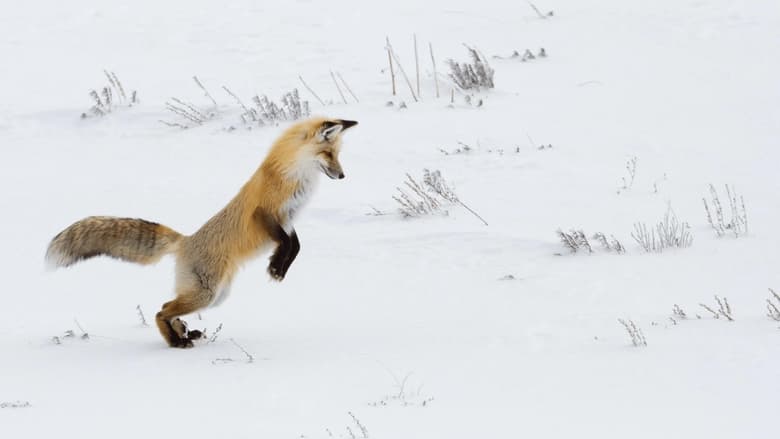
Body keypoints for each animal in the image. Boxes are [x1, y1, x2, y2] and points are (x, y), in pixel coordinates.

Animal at [45, 118, 356, 348]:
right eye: (328, 154)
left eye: (338, 155)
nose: (343, 176)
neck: (294, 176)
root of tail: (186, 241)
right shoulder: (264, 213)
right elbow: (285, 243)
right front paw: (276, 267)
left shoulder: (288, 219)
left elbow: (295, 245)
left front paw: (279, 267)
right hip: (207, 294)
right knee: (161, 310)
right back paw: (175, 341)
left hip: (216, 295)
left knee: (166, 305)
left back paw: (182, 332)